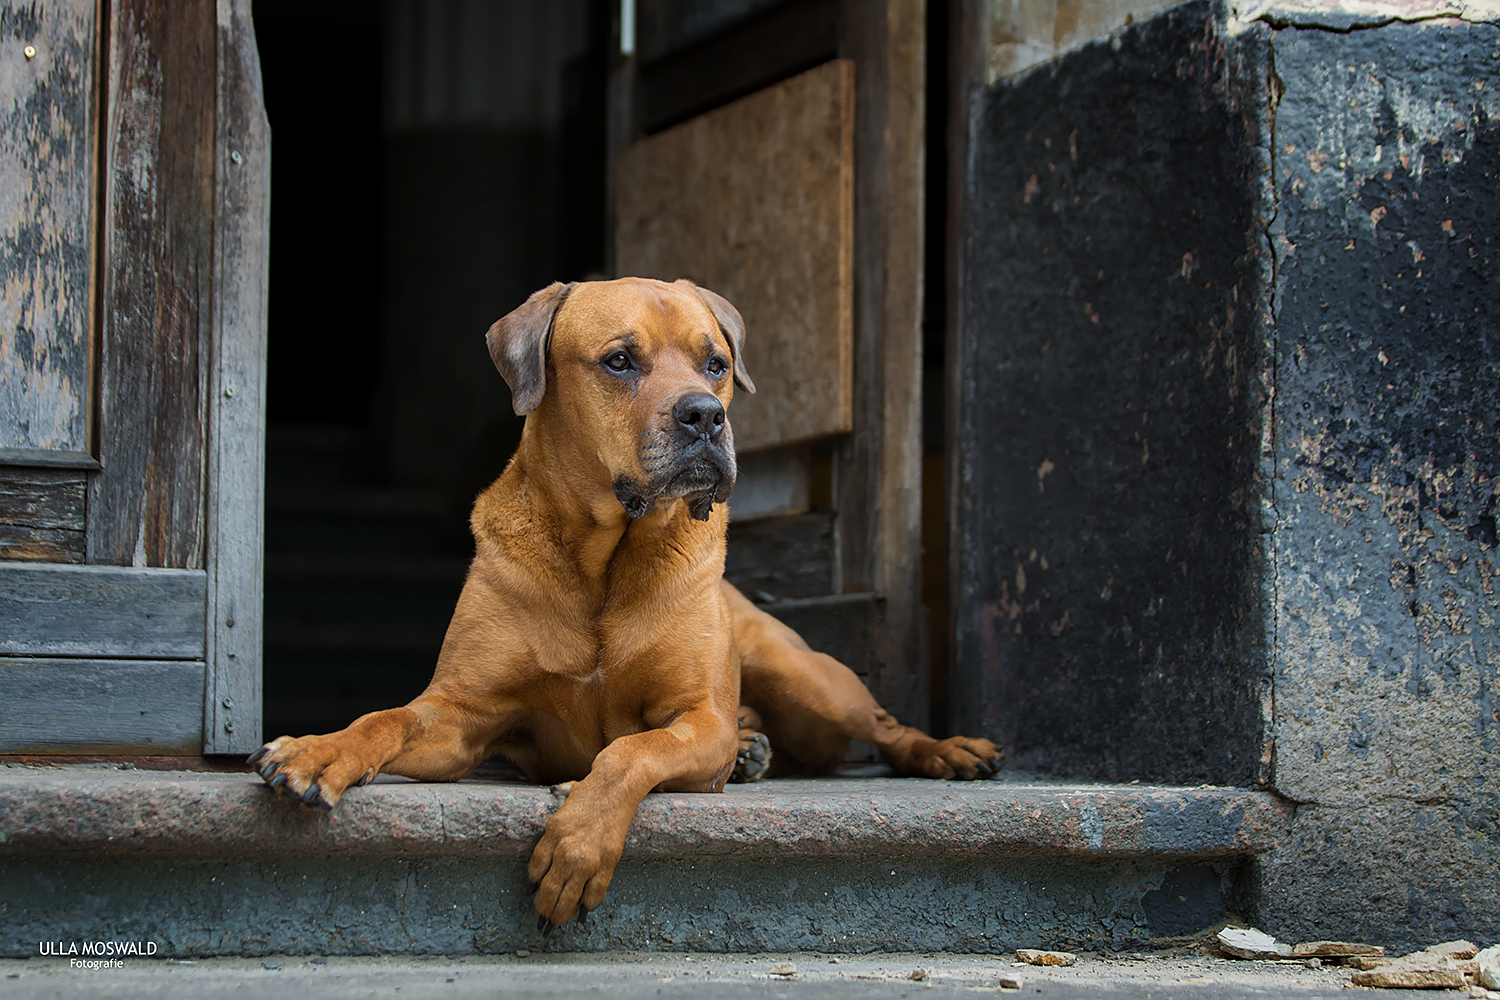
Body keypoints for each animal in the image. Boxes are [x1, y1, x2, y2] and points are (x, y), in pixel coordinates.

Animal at [252, 277, 1002, 929]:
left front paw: (579, 842)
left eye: (715, 363)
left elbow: (631, 752)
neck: (604, 562)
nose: (705, 414)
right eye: (619, 360)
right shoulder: (461, 717)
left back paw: (947, 751)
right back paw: (757, 752)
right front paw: (321, 750)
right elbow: (387, 718)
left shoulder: (700, 720)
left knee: (884, 726)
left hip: (806, 674)